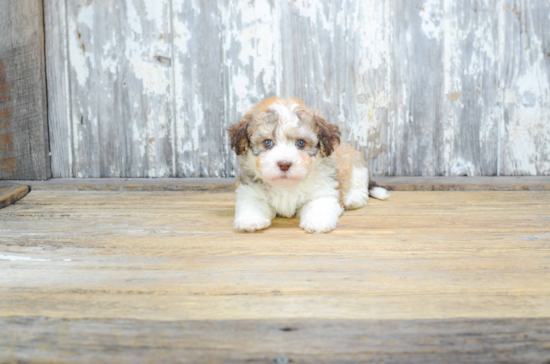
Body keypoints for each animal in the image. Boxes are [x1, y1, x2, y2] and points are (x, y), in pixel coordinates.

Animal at [231, 96, 390, 233]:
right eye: (267, 143)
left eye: (301, 143)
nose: (284, 164)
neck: (286, 185)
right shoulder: (249, 190)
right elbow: (252, 203)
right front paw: (251, 220)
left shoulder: (324, 190)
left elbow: (319, 204)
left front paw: (318, 222)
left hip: (356, 165)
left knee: (360, 187)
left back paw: (352, 199)